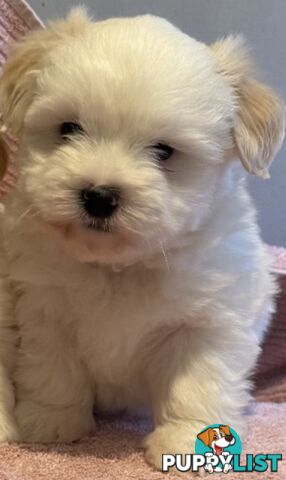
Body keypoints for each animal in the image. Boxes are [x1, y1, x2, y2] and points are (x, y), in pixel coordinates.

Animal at [0, 9, 284, 470]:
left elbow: (196, 383)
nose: (98, 195)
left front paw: (188, 439)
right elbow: (54, 369)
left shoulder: (208, 322)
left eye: (164, 151)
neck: (119, 265)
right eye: (69, 128)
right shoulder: (45, 309)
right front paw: (52, 422)